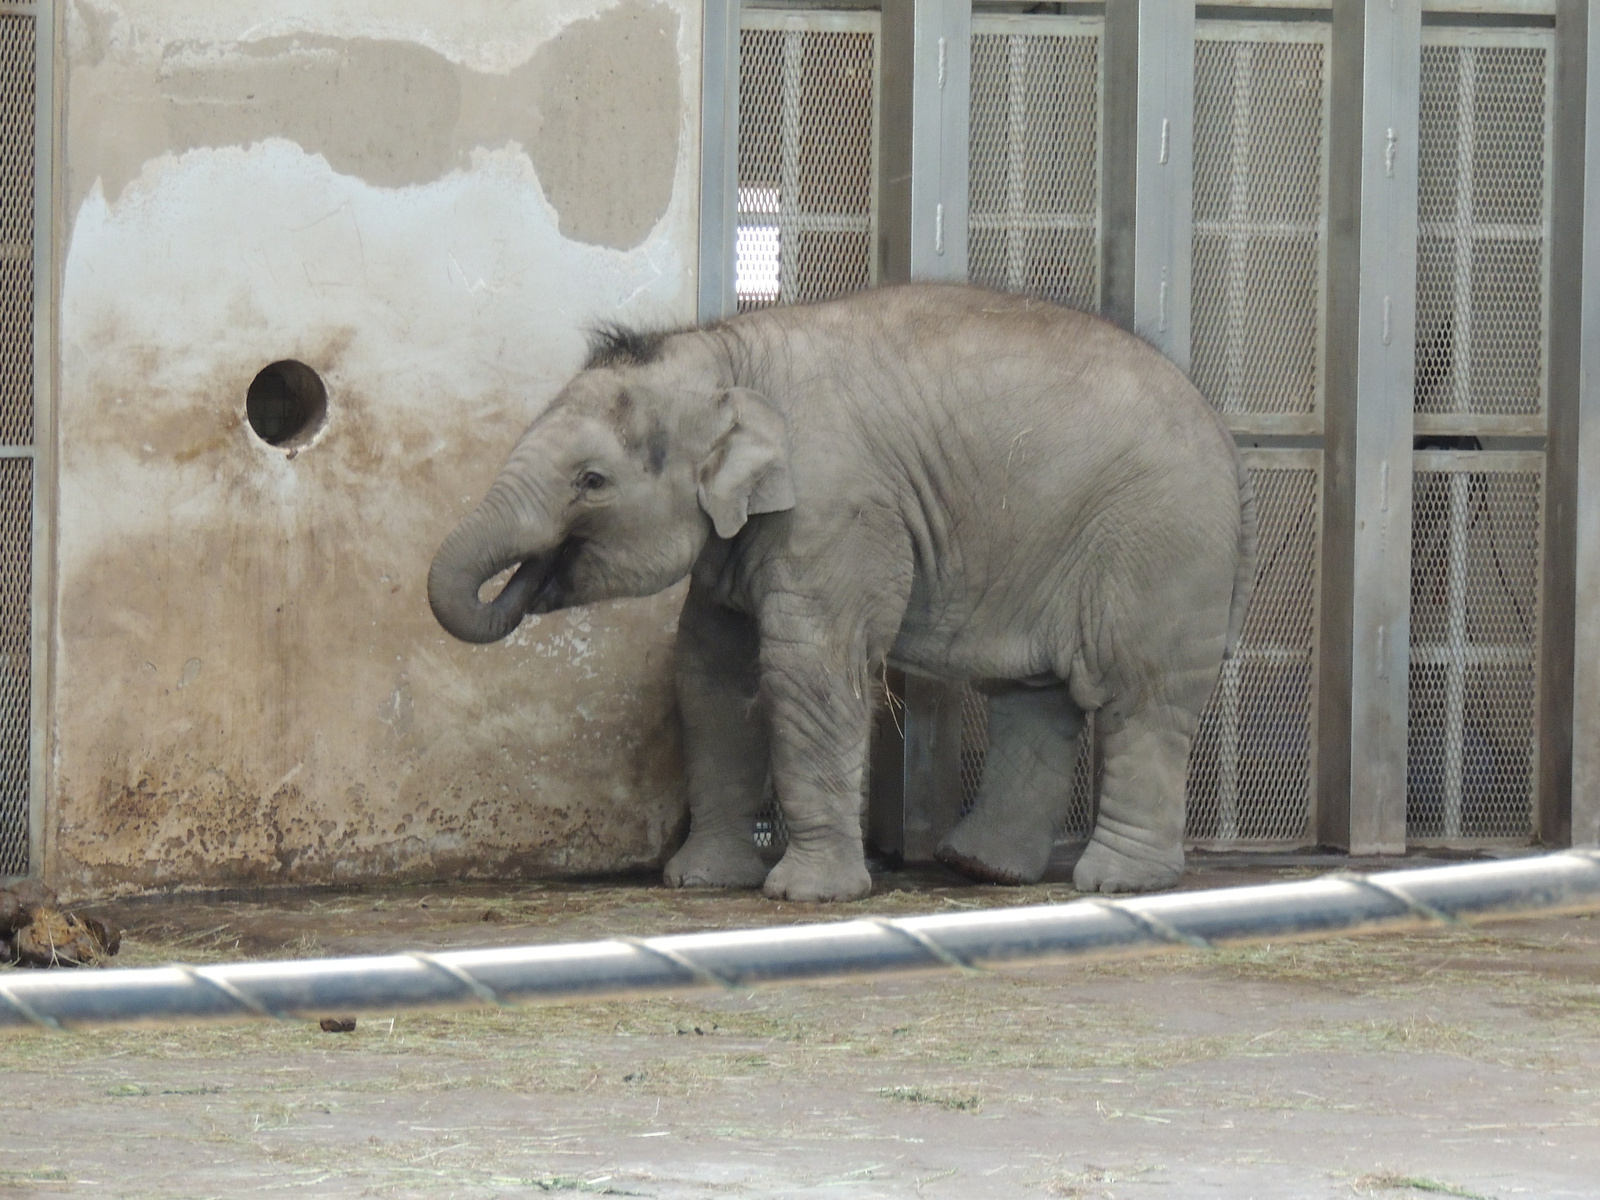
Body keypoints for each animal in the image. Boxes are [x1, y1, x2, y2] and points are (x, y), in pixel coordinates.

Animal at [432, 284, 1254, 902]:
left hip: (1161, 545)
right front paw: (699, 882)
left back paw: (1119, 882)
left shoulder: (834, 510)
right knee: (1037, 697)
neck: (727, 352)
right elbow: (707, 674)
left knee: (1137, 697)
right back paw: (981, 867)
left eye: (592, 481)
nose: (528, 580)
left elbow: (809, 669)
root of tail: (1221, 429)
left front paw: (807, 896)